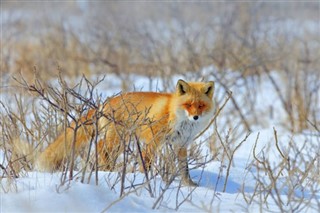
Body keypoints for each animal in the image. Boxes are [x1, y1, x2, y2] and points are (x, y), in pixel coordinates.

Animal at [35, 79, 215, 186]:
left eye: (200, 106)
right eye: (188, 105)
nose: (195, 117)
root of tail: (106, 102)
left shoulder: (181, 145)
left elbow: (184, 169)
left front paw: (189, 185)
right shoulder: (152, 140)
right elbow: (147, 162)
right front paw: (145, 180)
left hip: (121, 142)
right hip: (116, 139)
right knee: (100, 147)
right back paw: (106, 171)